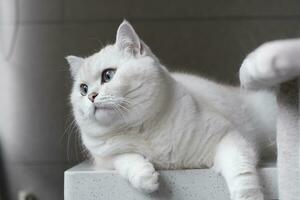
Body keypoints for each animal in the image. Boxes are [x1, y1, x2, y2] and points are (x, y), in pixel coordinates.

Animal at [67, 20, 276, 200]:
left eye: (108, 75)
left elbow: (241, 171)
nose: (91, 96)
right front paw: (146, 177)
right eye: (83, 89)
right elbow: (125, 158)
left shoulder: (228, 137)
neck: (139, 129)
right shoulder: (104, 159)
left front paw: (248, 196)